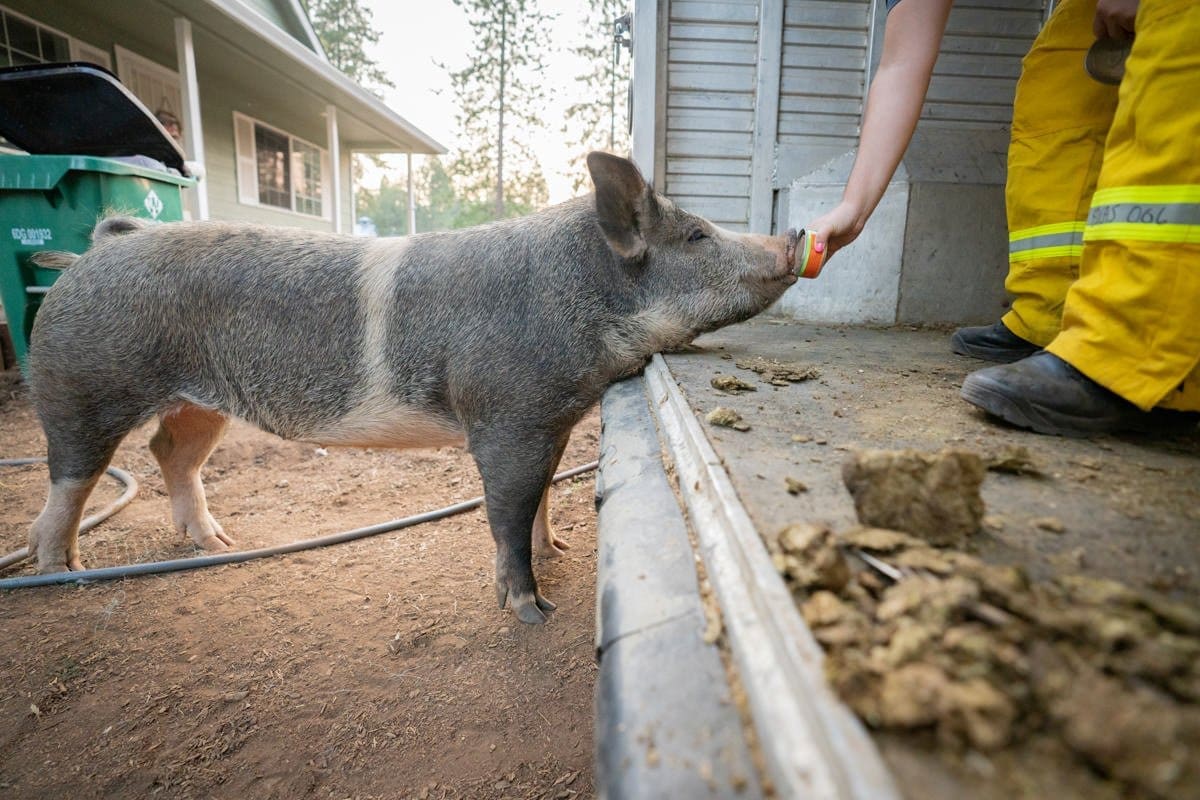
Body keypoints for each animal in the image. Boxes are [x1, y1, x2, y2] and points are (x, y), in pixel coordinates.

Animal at [25, 151, 796, 623]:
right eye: (696, 236)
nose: (791, 239)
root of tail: (101, 246)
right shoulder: (505, 417)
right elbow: (507, 511)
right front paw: (533, 611)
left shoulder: (550, 422)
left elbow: (541, 498)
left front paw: (560, 552)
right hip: (79, 389)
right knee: (70, 480)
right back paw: (62, 572)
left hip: (200, 402)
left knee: (169, 455)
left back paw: (216, 543)